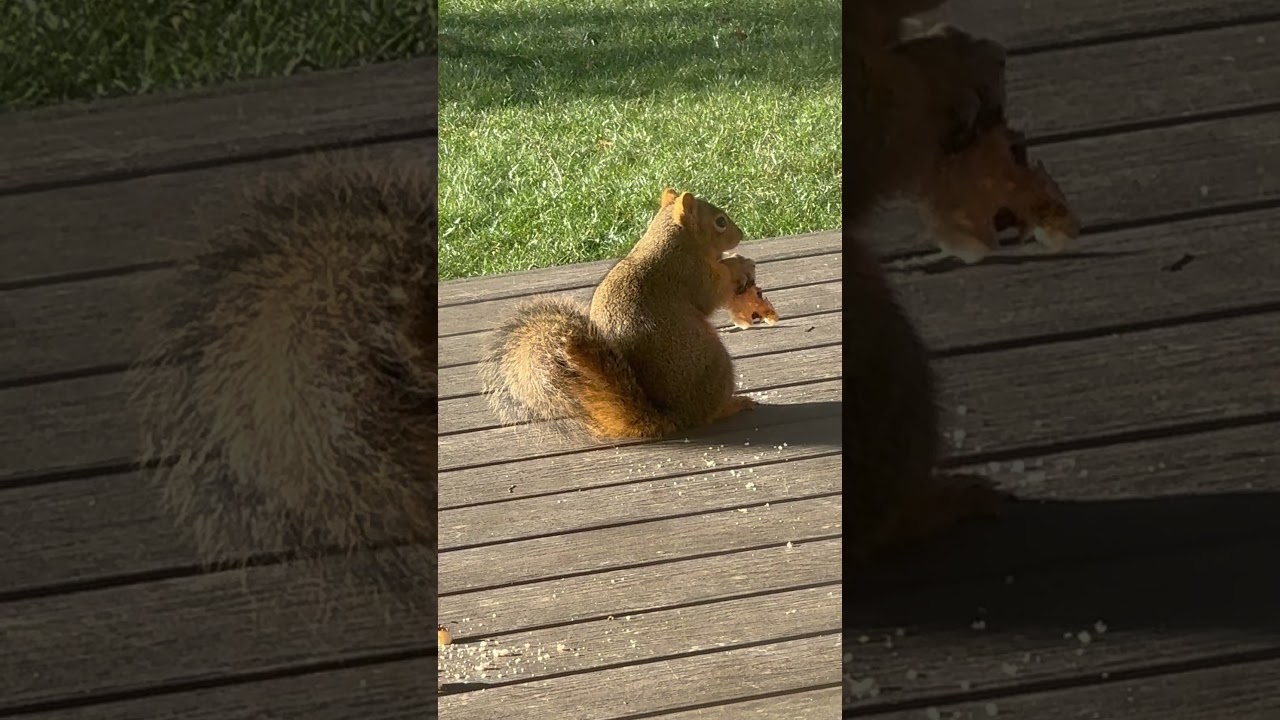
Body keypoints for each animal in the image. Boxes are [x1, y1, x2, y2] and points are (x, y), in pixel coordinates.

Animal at [479, 188, 761, 441]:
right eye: (720, 222)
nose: (741, 234)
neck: (674, 239)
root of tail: (675, 416)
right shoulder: (690, 273)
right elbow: (711, 295)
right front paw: (738, 264)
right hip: (713, 365)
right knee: (709, 414)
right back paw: (733, 404)